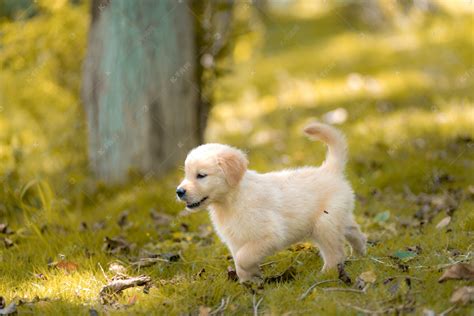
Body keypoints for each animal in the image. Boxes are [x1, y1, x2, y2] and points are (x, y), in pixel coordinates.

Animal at [178, 122, 366, 282]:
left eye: (201, 175)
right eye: (187, 174)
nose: (179, 192)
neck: (232, 200)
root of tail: (329, 170)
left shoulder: (268, 235)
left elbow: (243, 258)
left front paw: (251, 277)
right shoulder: (235, 241)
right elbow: (239, 262)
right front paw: (250, 283)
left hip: (324, 224)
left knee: (335, 253)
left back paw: (326, 273)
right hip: (338, 217)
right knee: (355, 232)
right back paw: (360, 253)